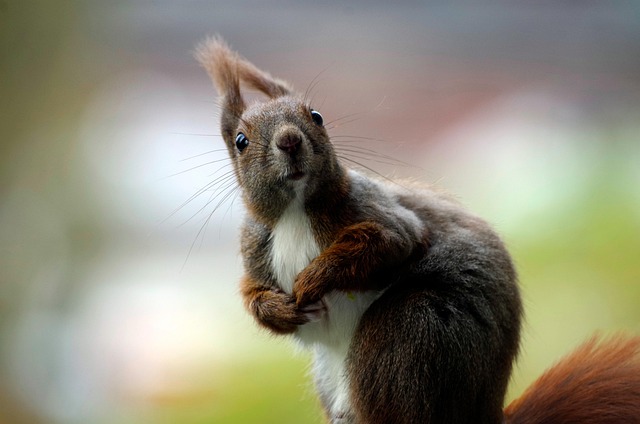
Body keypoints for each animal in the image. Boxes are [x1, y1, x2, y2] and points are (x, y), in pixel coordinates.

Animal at [194, 37, 640, 424]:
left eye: (316, 116)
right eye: (241, 141)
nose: (289, 140)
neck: (295, 212)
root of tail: (482, 414)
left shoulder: (383, 214)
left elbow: (388, 244)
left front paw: (314, 277)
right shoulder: (256, 248)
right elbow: (254, 294)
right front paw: (279, 309)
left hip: (408, 332)